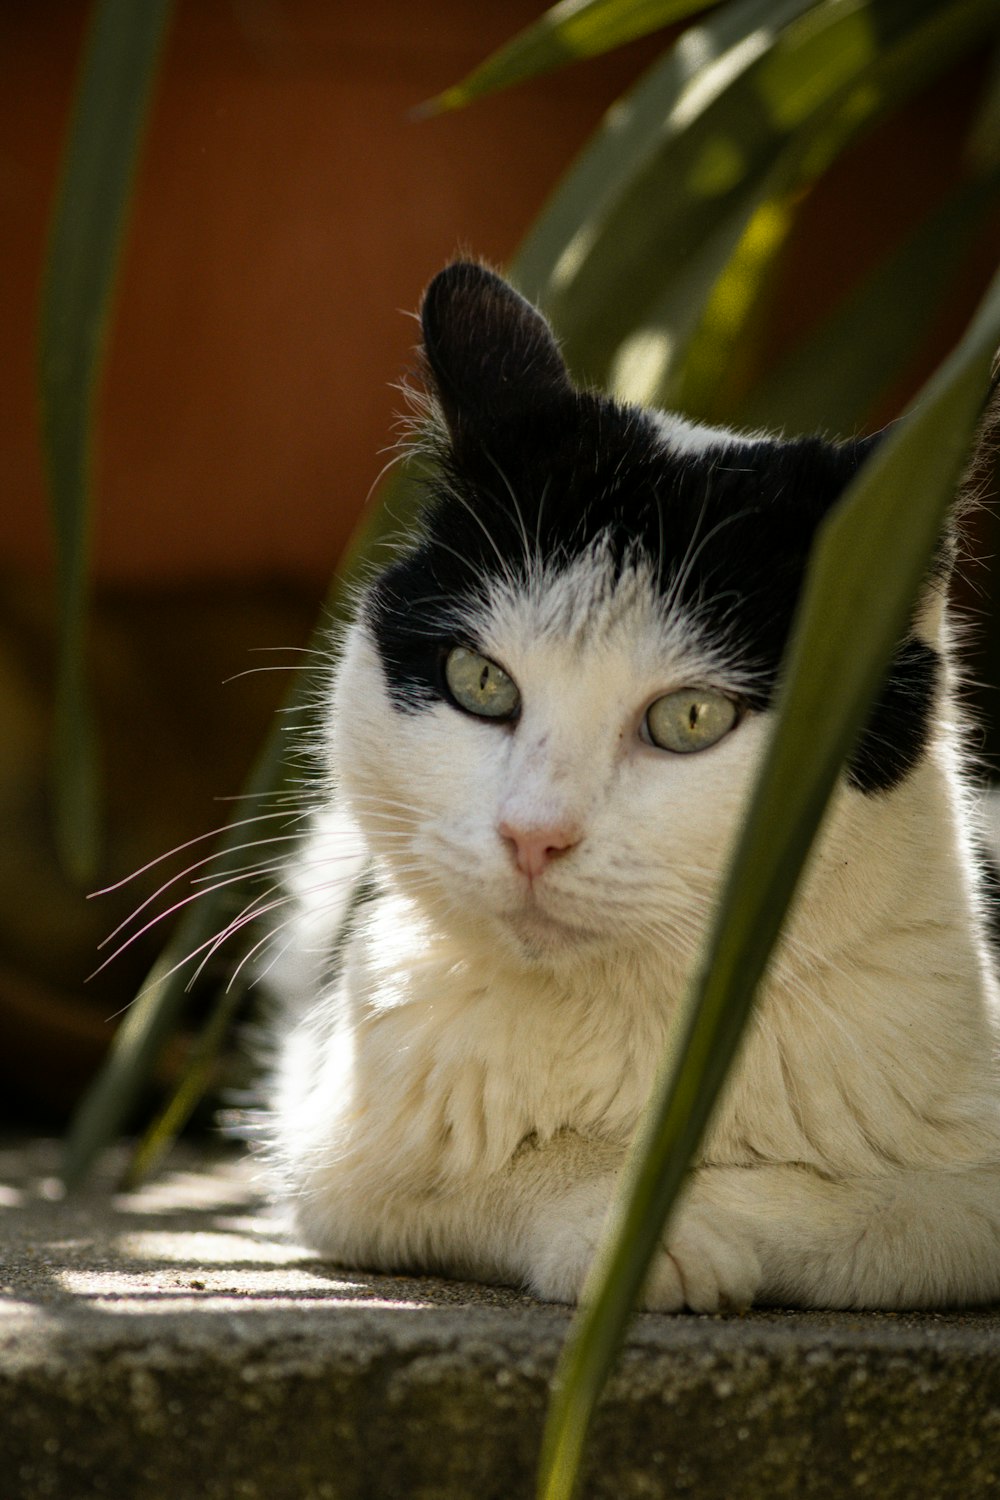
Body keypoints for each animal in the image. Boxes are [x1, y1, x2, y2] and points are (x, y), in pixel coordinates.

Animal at [262, 261, 1000, 1314]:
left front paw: (696, 1216)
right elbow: (489, 1167)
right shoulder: (343, 1143)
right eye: (480, 683)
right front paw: (628, 1226)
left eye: (690, 719)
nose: (533, 835)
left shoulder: (967, 1184)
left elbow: (885, 1207)